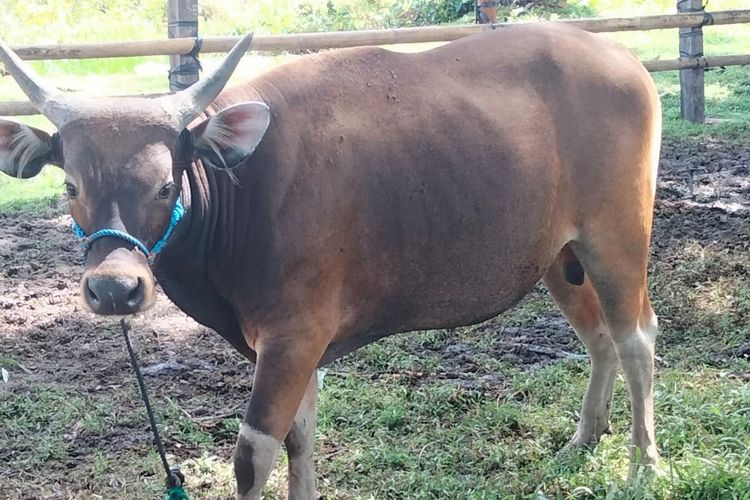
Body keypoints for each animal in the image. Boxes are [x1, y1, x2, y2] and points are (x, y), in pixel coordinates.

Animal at [0, 24, 660, 500]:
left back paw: (645, 461)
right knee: (600, 337)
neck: (242, 188)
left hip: (618, 237)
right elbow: (300, 435)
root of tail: (623, 60)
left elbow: (253, 454)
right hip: (558, 255)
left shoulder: (294, 337)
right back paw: (585, 438)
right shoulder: (290, 346)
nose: (115, 288)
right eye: (71, 186)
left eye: (166, 185)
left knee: (636, 338)